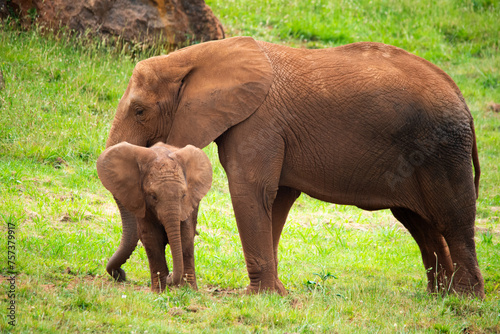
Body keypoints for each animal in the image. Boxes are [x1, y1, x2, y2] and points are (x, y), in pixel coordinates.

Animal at [96, 142, 212, 292]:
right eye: (153, 196)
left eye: (183, 195)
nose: (120, 274)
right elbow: (151, 238)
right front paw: (160, 291)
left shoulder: (187, 205)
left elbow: (185, 236)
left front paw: (188, 290)